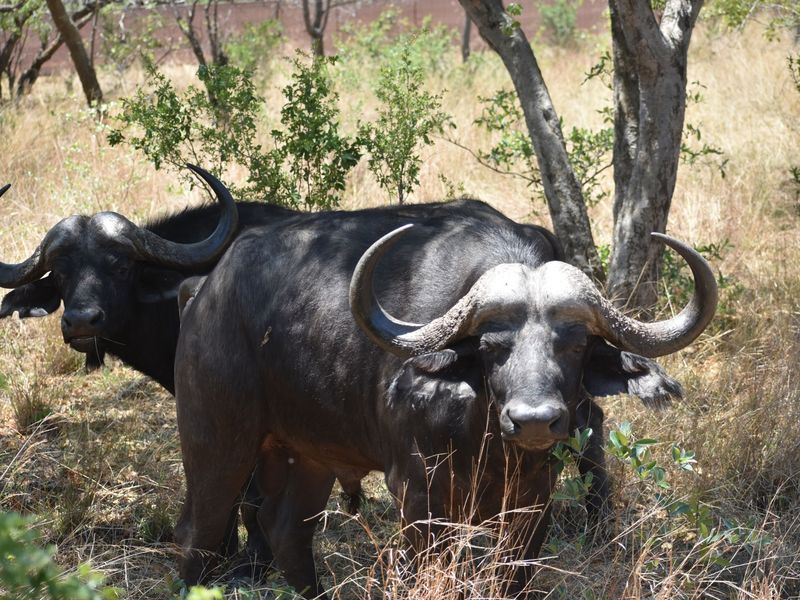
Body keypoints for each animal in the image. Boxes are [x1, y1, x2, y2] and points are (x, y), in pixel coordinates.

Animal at [173, 195, 715, 596]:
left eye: (577, 344)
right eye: (492, 346)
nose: (534, 421)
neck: (484, 437)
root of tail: (205, 292)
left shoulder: (532, 505)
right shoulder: (417, 497)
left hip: (310, 453)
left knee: (285, 530)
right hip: (217, 442)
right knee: (199, 533)